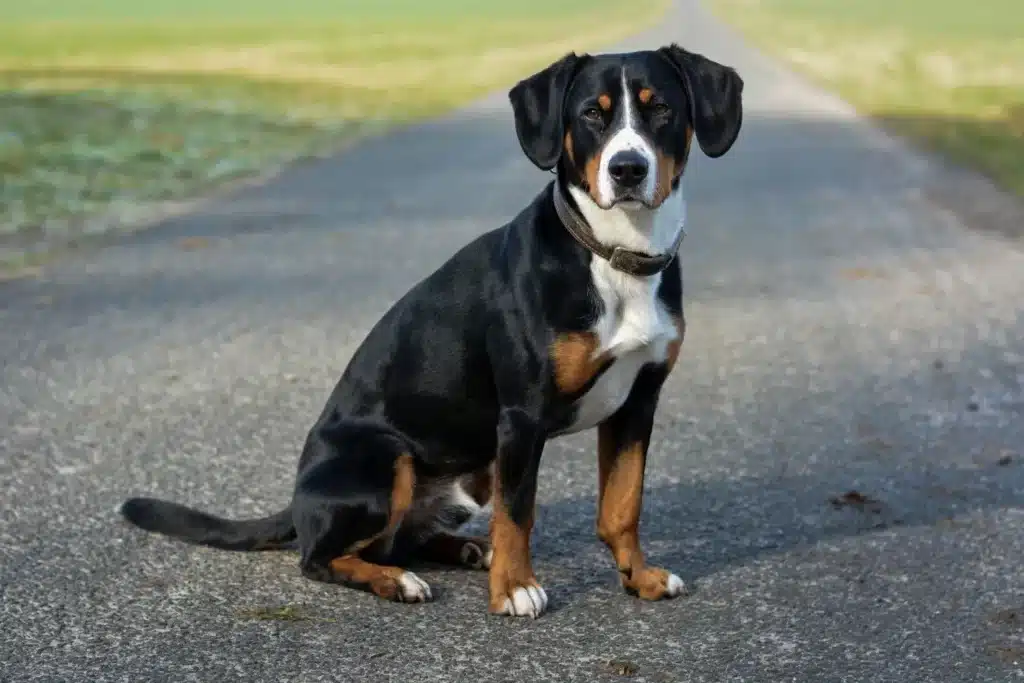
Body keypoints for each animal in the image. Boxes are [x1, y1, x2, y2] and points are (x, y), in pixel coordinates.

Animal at [119, 42, 745, 618]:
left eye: (659, 109)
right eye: (593, 113)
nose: (628, 169)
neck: (614, 256)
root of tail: (297, 497)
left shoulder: (638, 402)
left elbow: (622, 506)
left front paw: (640, 578)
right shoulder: (522, 417)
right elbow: (519, 514)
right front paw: (515, 589)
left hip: (469, 475)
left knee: (401, 541)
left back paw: (467, 551)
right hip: (386, 458)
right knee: (322, 557)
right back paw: (399, 581)